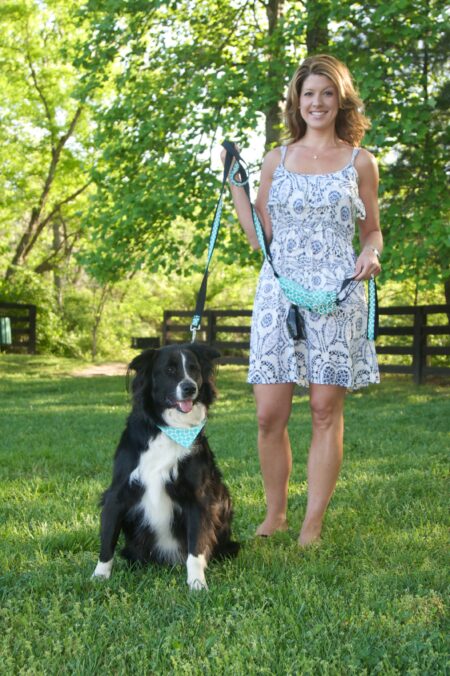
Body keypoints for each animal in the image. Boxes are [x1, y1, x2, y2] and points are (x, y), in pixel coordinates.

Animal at [91, 344, 239, 588]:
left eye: (193, 368)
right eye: (169, 370)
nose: (190, 388)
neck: (167, 428)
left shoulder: (198, 497)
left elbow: (196, 547)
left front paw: (197, 583)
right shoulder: (118, 492)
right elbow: (107, 539)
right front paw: (99, 576)